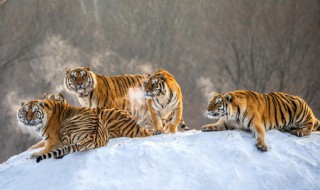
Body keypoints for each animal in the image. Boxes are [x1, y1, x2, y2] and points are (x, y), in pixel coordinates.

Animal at [16, 98, 152, 163]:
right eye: (25, 111)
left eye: (35, 112)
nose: (28, 119)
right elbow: (35, 145)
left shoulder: (53, 141)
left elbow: (43, 148)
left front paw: (34, 154)